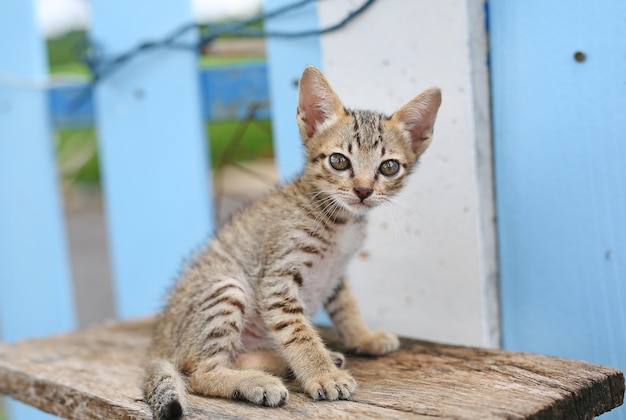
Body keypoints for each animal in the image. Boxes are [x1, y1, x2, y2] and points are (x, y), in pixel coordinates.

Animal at [144, 65, 442, 416]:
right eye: (339, 161)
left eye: (389, 167)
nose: (363, 190)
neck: (340, 221)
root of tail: (158, 342)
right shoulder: (278, 280)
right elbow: (298, 333)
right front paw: (323, 375)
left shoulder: (336, 273)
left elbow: (346, 307)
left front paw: (363, 336)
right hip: (226, 288)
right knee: (200, 372)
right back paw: (258, 382)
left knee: (236, 358)